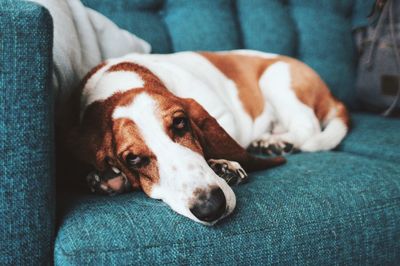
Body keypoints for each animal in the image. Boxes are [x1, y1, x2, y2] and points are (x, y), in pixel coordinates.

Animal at [69, 50, 350, 224]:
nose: (210, 207)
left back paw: (275, 143)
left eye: (180, 123)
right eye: (134, 159)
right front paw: (111, 178)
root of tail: (331, 95)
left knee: (308, 127)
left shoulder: (223, 114)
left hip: (277, 77)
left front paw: (223, 165)